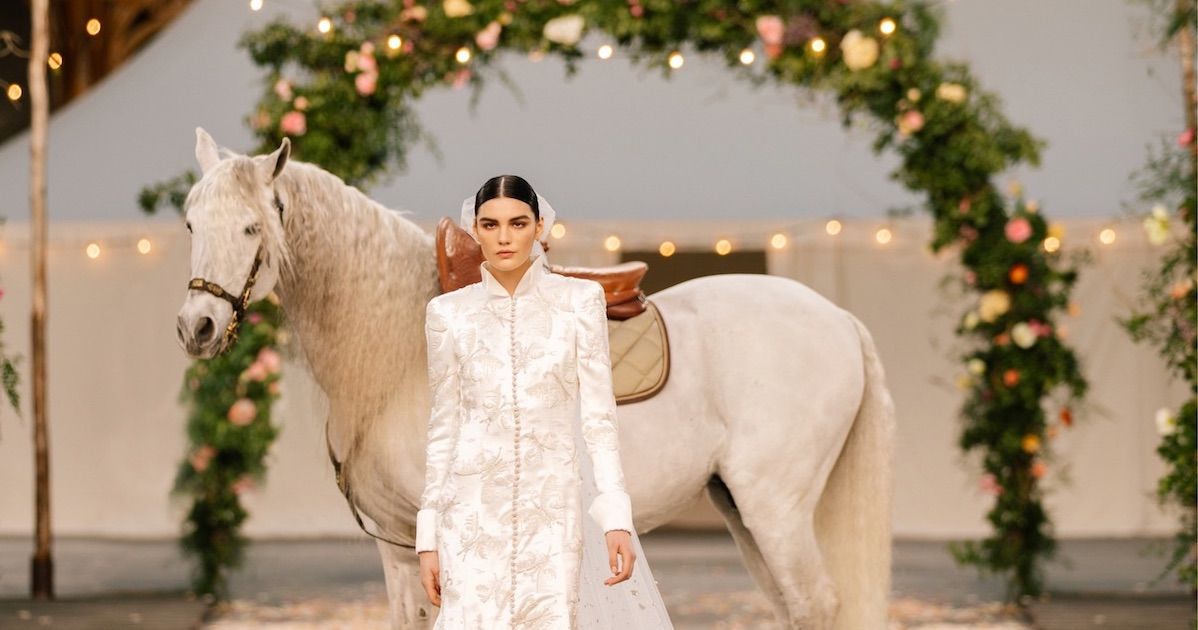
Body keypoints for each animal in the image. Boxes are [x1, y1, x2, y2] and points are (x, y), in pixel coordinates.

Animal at [173, 129, 896, 630]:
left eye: (253, 226)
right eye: (189, 224)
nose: (196, 326)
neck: (398, 352)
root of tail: (839, 320)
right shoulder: (402, 550)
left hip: (775, 508)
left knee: (815, 604)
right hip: (743, 509)